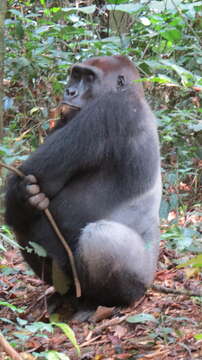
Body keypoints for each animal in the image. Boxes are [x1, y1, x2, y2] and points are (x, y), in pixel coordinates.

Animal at [5, 54, 161, 316]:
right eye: (75, 75)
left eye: (89, 78)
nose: (69, 91)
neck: (135, 94)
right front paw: (26, 197)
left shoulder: (111, 108)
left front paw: (21, 194)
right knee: (25, 225)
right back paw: (63, 296)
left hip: (141, 281)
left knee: (100, 237)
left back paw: (103, 303)